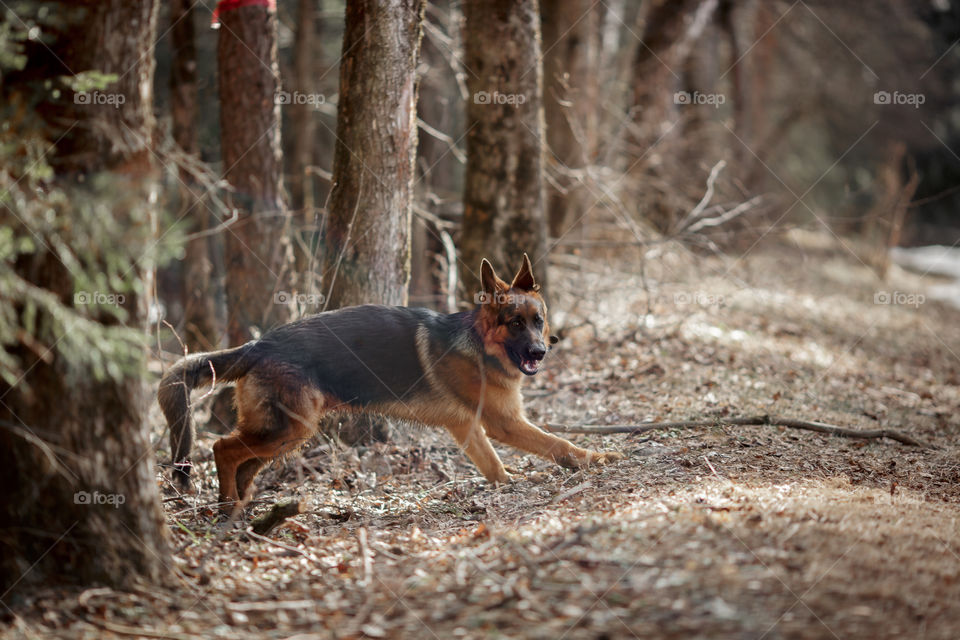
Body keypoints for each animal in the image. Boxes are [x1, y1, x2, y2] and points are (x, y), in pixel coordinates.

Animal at [158, 258, 624, 512]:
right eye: (514, 323)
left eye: (538, 320)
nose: (540, 353)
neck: (480, 343)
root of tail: (259, 343)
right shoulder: (503, 423)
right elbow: (556, 443)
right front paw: (594, 458)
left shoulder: (468, 428)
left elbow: (492, 465)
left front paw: (506, 484)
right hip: (290, 429)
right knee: (223, 448)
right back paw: (228, 509)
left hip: (285, 433)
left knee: (242, 461)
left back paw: (241, 507)